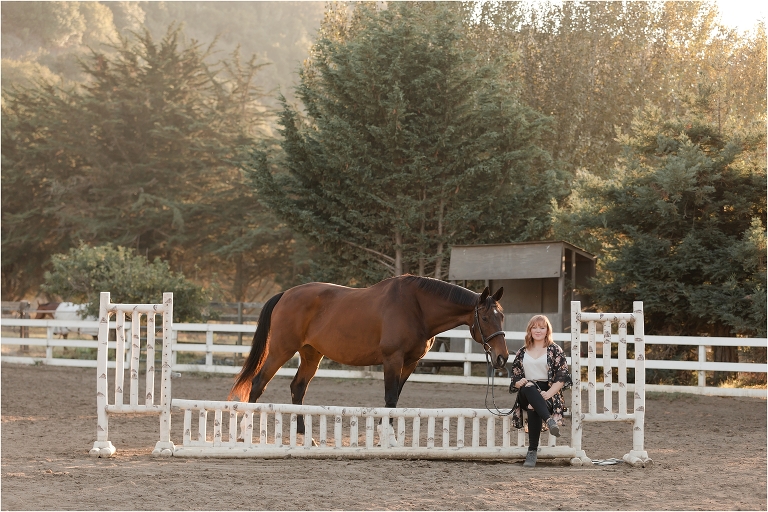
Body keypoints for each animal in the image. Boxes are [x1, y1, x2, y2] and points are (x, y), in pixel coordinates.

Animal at [229, 275, 507, 435]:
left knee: (298, 388)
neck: (416, 307)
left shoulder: (410, 363)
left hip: (311, 354)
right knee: (257, 384)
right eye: (484, 318)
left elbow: (395, 398)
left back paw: (302, 434)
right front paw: (387, 435)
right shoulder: (392, 359)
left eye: (502, 316)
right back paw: (244, 432)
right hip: (280, 350)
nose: (502, 357)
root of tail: (285, 294)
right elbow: (390, 398)